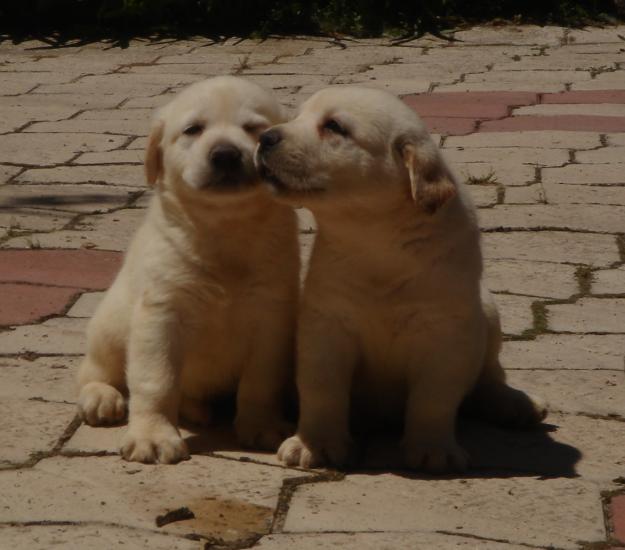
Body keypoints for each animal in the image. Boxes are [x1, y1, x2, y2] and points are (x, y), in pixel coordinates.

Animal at [77, 76, 302, 466]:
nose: (225, 154)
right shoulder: (161, 314)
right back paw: (101, 397)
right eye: (193, 130)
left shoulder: (272, 316)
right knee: (94, 371)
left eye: (254, 130)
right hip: (109, 326)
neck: (225, 227)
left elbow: (261, 381)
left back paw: (195, 408)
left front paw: (262, 425)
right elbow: (156, 381)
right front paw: (153, 436)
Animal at [254, 86, 544, 474]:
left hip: (488, 311)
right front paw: (315, 444)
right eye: (296, 117)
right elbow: (321, 387)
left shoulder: (447, 332)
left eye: (334, 126)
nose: (265, 138)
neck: (377, 237)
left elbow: (434, 396)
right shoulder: (326, 323)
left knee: (489, 376)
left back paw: (516, 405)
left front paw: (433, 450)